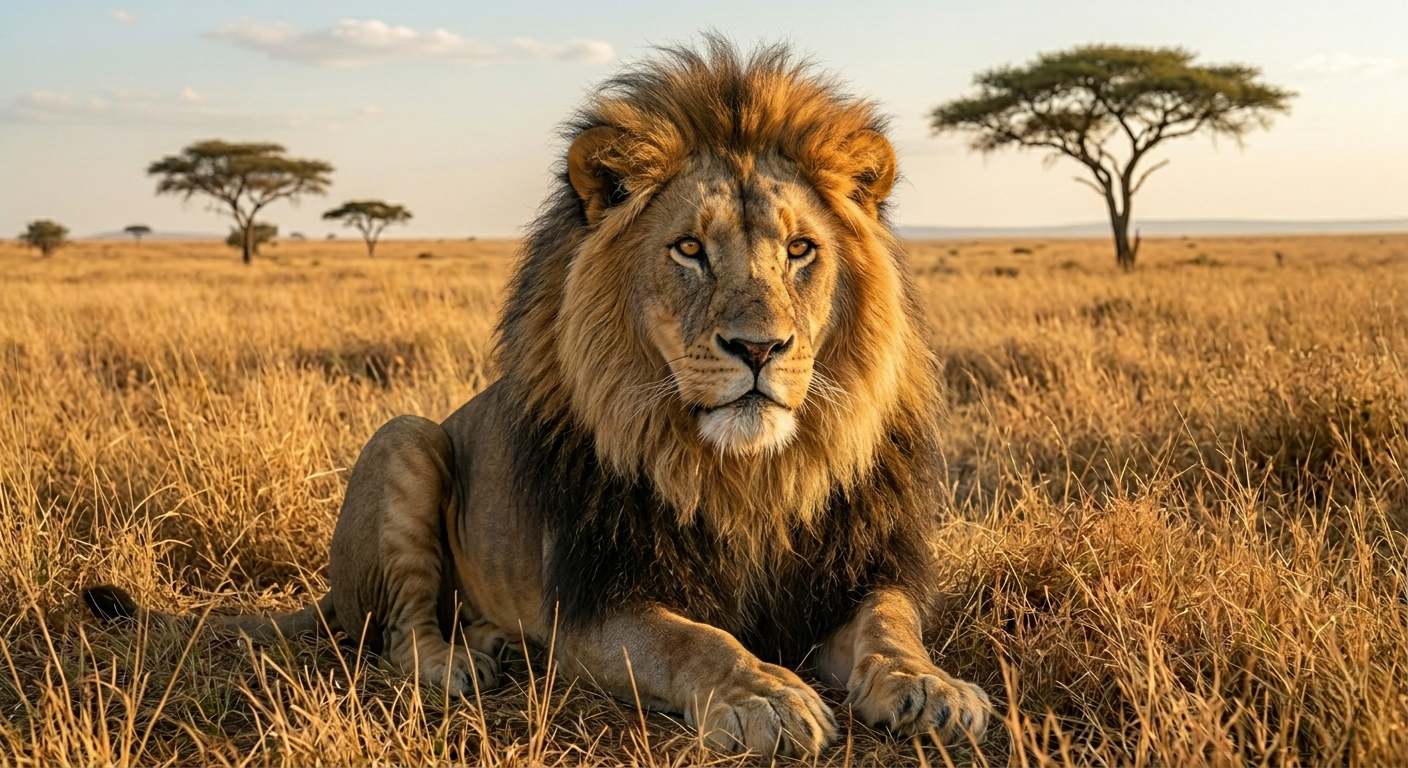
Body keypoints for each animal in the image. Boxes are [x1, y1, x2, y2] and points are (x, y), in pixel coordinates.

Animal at [83, 38, 990, 757]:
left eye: (801, 250)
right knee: (400, 631)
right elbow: (698, 643)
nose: (760, 348)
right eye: (689, 249)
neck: (746, 475)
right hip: (405, 438)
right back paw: (460, 660)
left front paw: (934, 689)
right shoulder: (595, 605)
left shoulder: (856, 572)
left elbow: (892, 627)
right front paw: (765, 695)